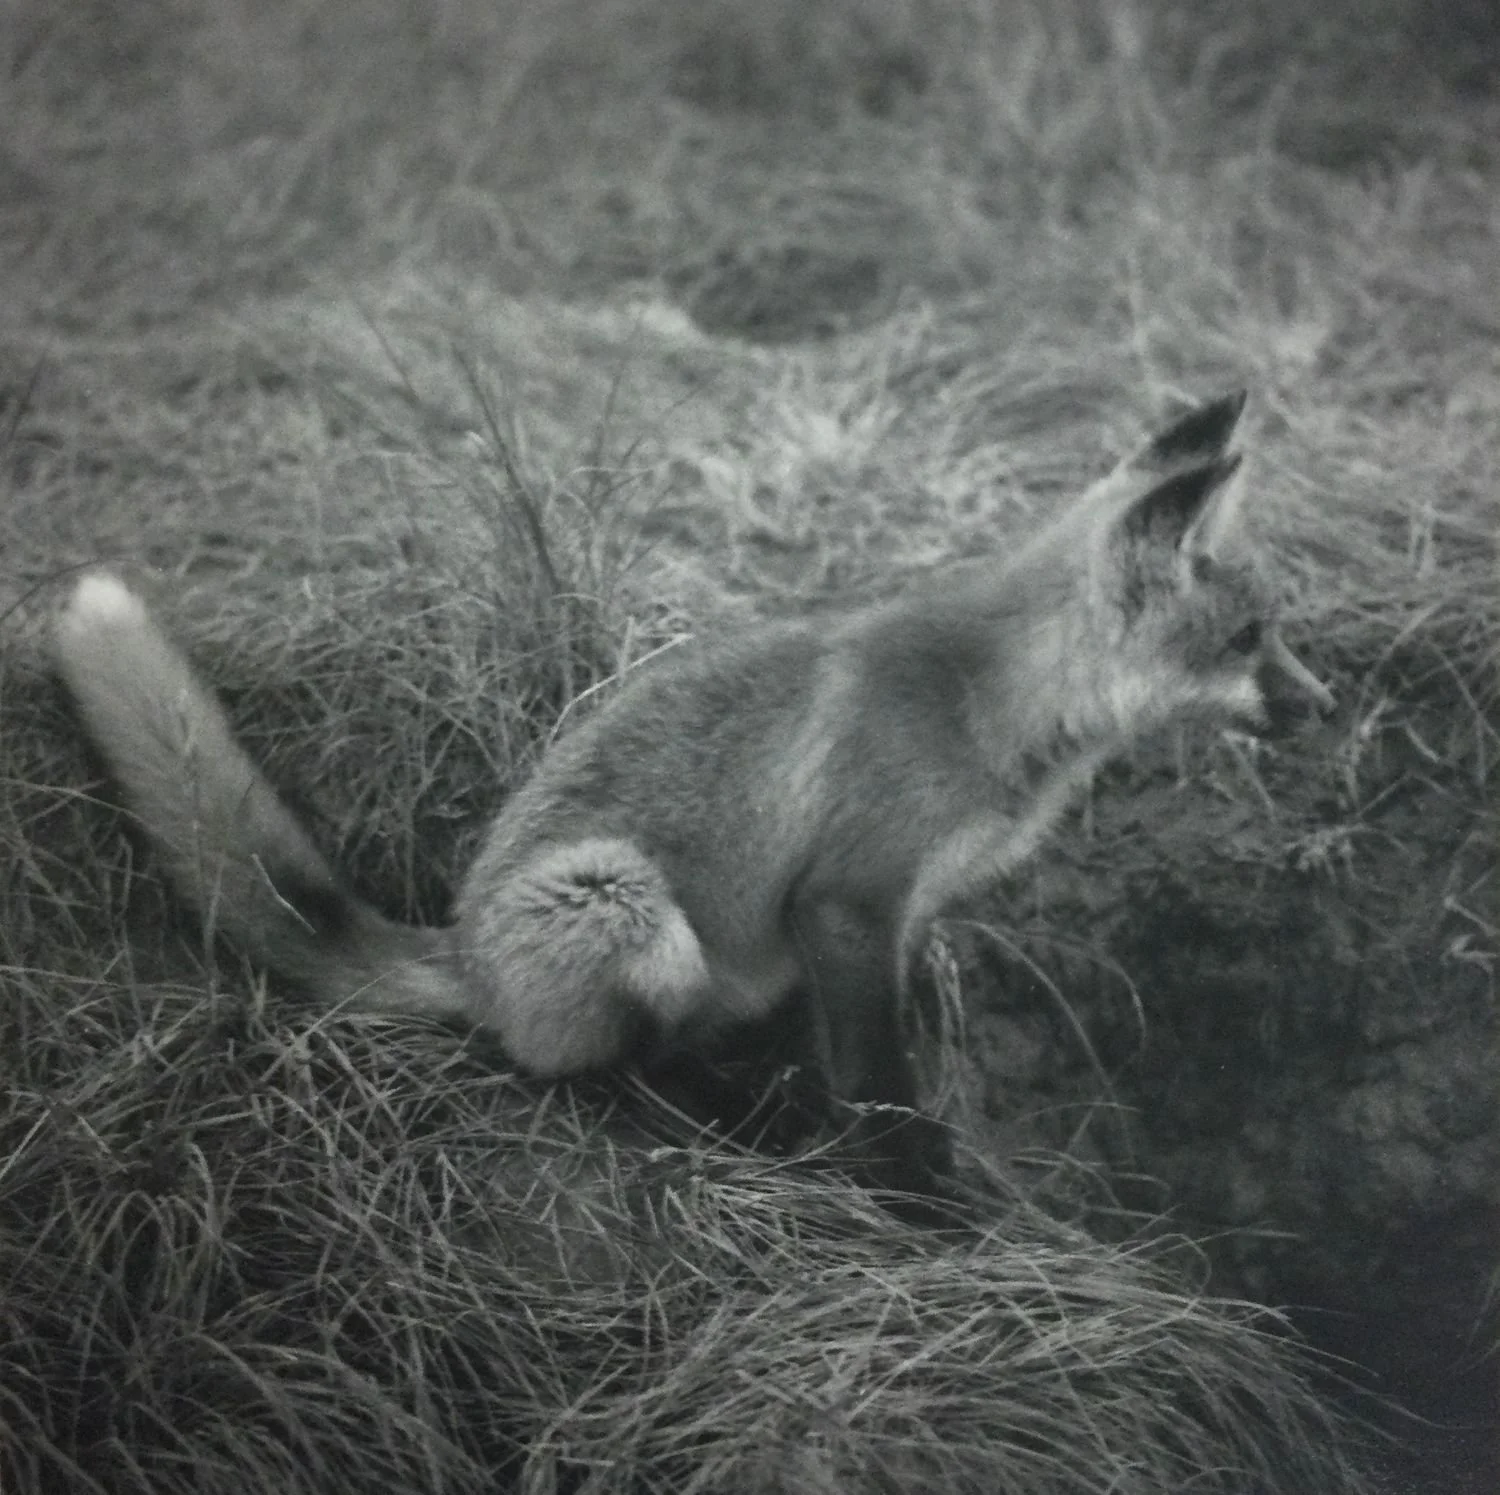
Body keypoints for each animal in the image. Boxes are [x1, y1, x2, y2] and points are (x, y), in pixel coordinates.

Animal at [54, 390, 1333, 1188]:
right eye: (1250, 638)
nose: (1322, 704)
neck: (996, 701)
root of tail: (461, 946)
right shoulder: (846, 901)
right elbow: (880, 1084)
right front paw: (918, 1198)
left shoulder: (886, 921)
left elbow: (872, 1053)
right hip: (623, 899)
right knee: (597, 1074)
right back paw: (714, 1126)